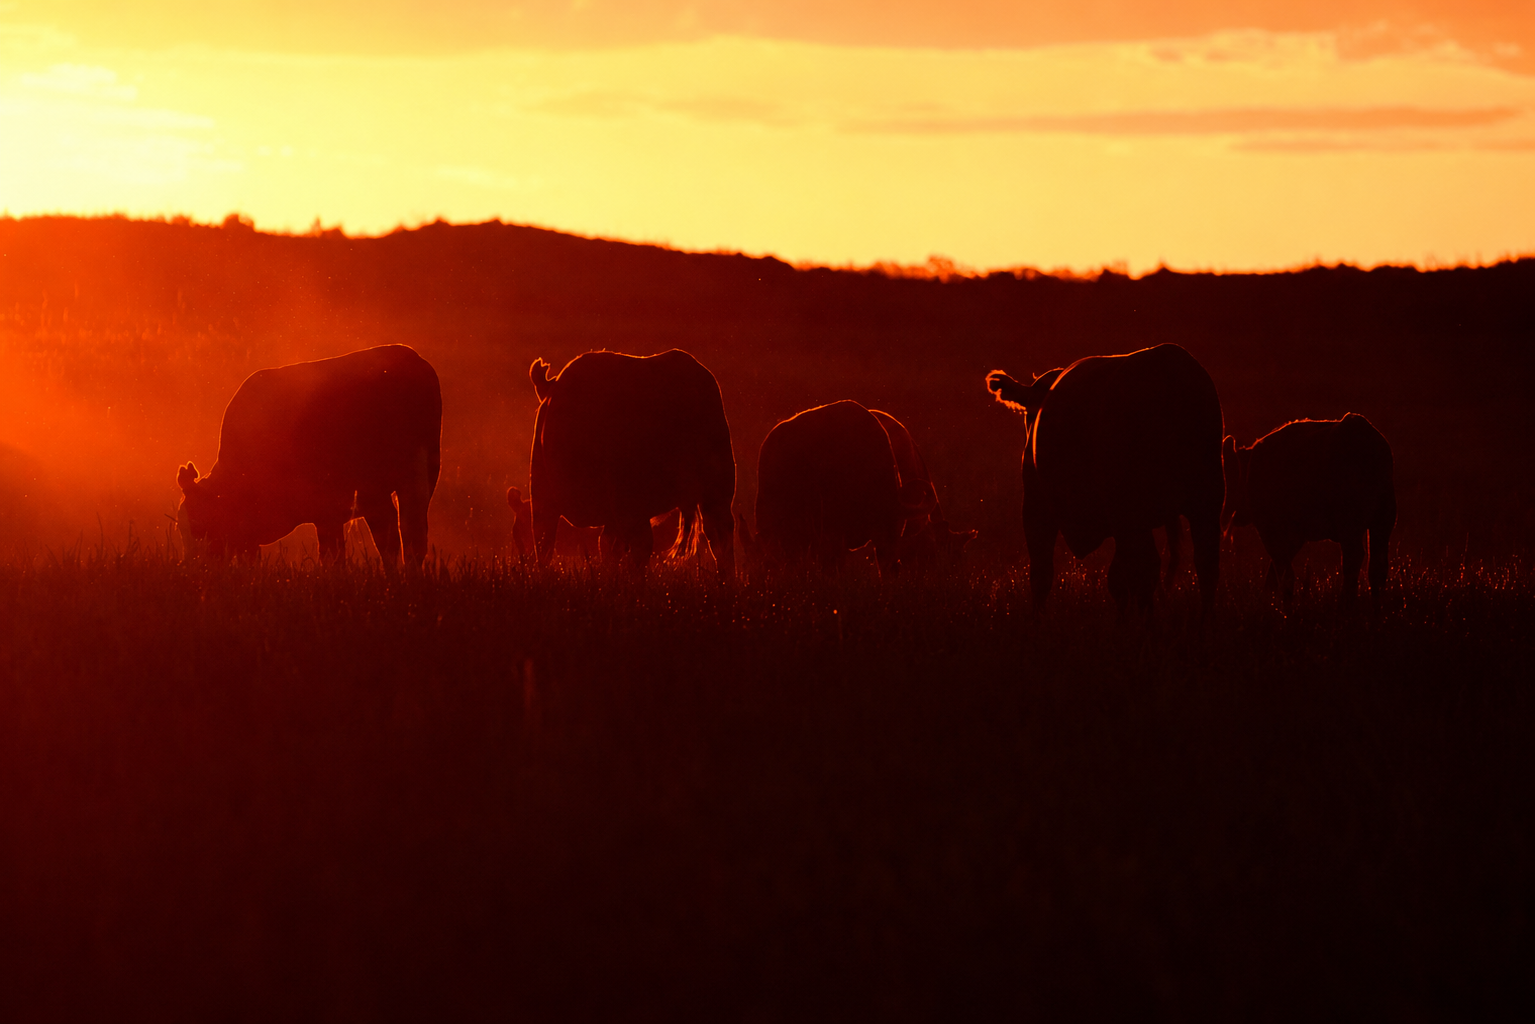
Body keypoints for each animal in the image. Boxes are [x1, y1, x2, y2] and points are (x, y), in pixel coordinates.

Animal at [176, 344, 441, 569]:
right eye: (180, 528)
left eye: (200, 525)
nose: (192, 567)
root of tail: (410, 357)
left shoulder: (327, 510)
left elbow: (332, 559)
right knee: (404, 536)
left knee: (402, 537)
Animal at [986, 343, 1224, 616]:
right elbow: (1119, 579)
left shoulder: (1037, 504)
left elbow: (1042, 574)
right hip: (1206, 500)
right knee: (1204, 564)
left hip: (1129, 509)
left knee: (1146, 567)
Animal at [1222, 414, 1396, 610]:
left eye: (1230, 476)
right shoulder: (1296, 535)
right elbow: (1274, 573)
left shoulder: (1269, 527)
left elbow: (1284, 572)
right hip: (1384, 519)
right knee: (1377, 565)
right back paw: (1375, 607)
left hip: (1350, 522)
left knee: (1354, 557)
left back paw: (1345, 603)